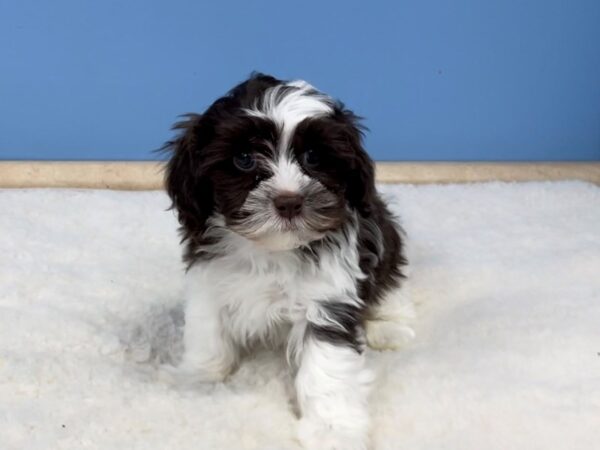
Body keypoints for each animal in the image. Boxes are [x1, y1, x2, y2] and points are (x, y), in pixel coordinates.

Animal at [162, 74, 414, 450]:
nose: (289, 201)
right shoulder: (209, 280)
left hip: (386, 243)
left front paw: (332, 430)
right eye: (244, 159)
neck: (271, 250)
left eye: (313, 156)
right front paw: (197, 377)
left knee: (390, 285)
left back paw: (388, 327)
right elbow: (206, 331)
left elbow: (327, 368)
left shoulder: (326, 300)